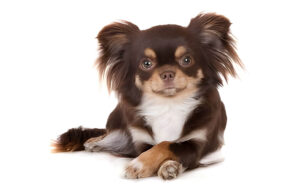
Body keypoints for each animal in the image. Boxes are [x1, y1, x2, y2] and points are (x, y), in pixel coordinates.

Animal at [52, 13, 241, 179]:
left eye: (187, 60)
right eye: (146, 63)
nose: (167, 73)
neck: (169, 105)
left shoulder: (199, 145)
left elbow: (167, 145)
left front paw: (162, 166)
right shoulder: (141, 142)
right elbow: (157, 147)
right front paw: (145, 163)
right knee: (109, 133)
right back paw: (95, 140)